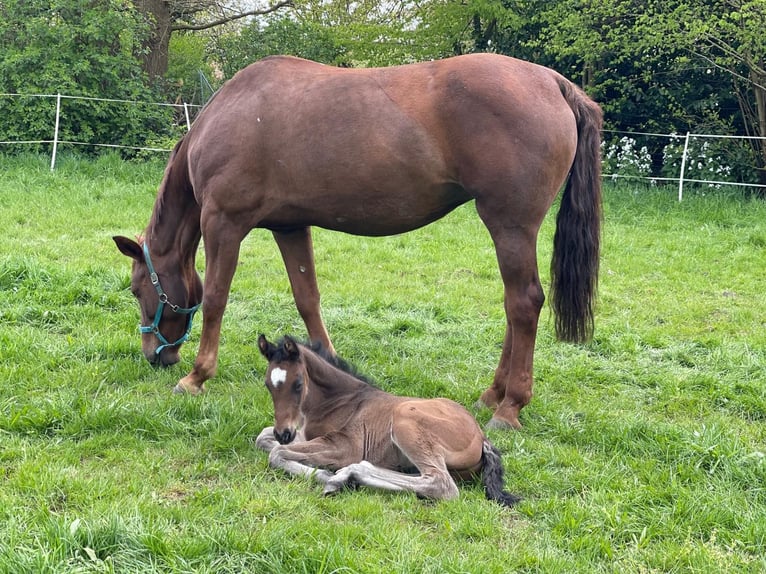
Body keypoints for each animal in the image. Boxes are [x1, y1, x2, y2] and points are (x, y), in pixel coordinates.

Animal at [115, 54, 608, 430]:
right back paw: (494, 393)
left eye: (138, 290)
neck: (231, 113)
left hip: (509, 226)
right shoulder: (290, 227)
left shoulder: (225, 223)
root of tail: (554, 83)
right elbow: (307, 298)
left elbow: (216, 299)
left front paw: (197, 376)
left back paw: (510, 406)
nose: (154, 356)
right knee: (513, 306)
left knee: (523, 303)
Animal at [256, 336, 520, 506]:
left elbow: (277, 453)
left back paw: (342, 477)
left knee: (440, 484)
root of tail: (482, 436)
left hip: (405, 417)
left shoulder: (344, 446)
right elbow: (262, 439)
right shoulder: (302, 434)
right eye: (268, 385)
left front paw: (321, 474)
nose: (283, 433)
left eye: (298, 384)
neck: (340, 400)